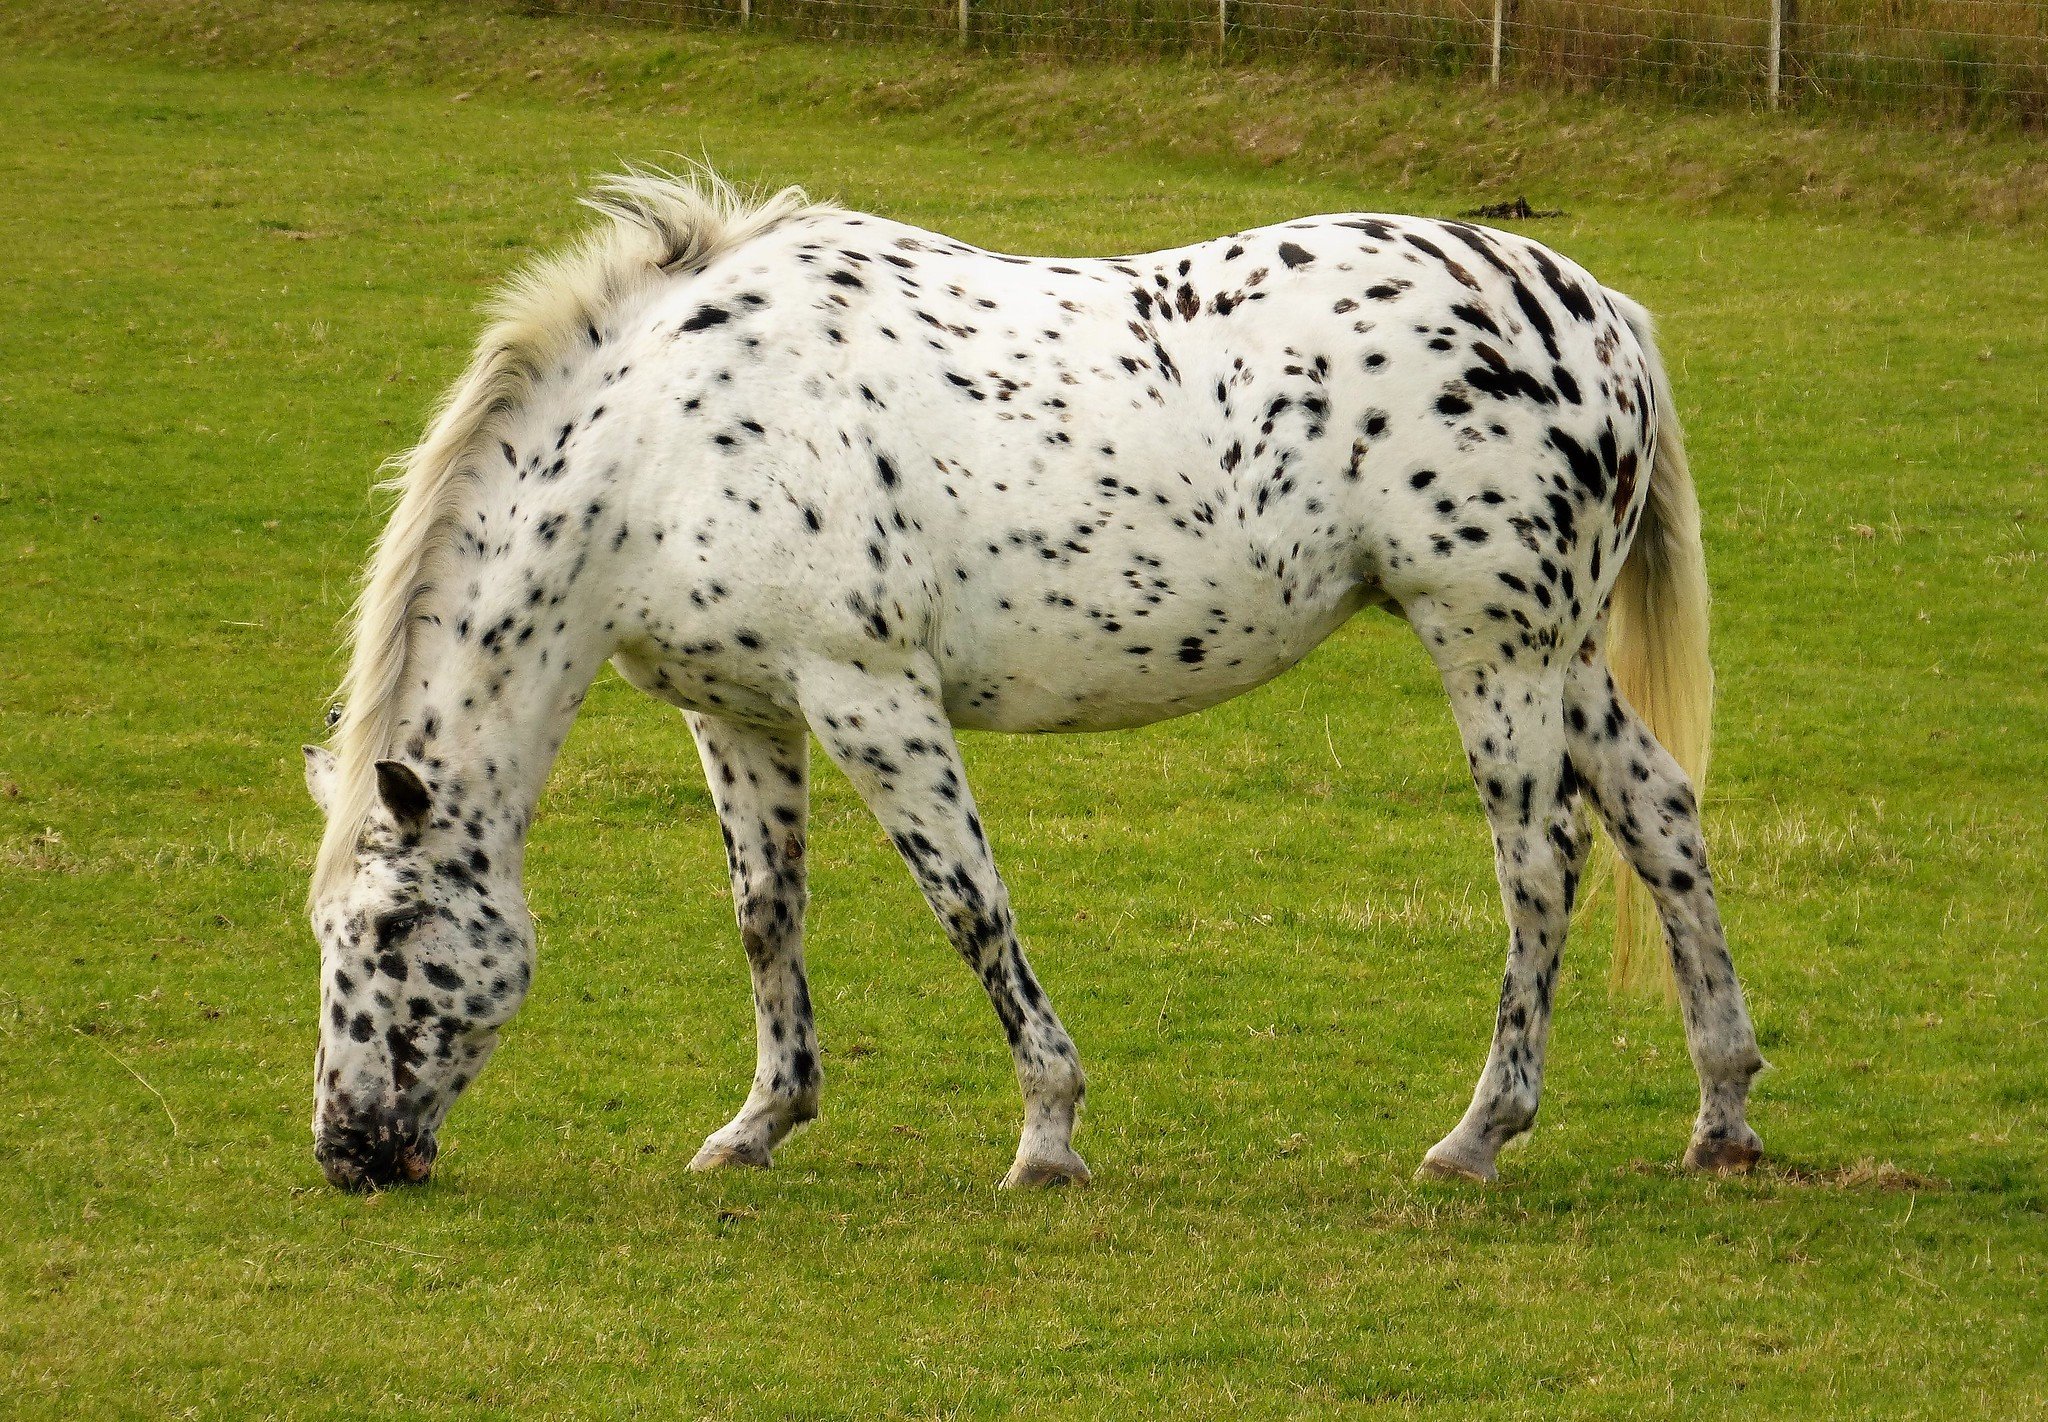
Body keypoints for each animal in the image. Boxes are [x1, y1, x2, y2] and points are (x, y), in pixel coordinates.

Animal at [299, 163, 1761, 1188]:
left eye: (388, 933)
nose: (346, 1151)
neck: (667, 436)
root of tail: (1601, 316)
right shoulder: (742, 714)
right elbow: (767, 913)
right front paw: (761, 1121)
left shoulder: (870, 695)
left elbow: (970, 906)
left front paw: (1048, 1134)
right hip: (1564, 658)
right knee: (1660, 820)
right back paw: (1723, 1114)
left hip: (1491, 651)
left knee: (1542, 863)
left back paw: (1478, 1133)